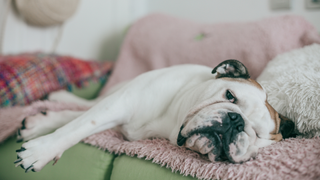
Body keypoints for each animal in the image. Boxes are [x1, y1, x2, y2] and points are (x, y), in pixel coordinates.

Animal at [15, 59, 296, 172]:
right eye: (230, 95)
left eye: (257, 134)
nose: (236, 121)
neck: (171, 123)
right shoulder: (119, 102)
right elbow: (79, 126)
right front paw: (42, 151)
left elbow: (81, 123)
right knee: (85, 109)